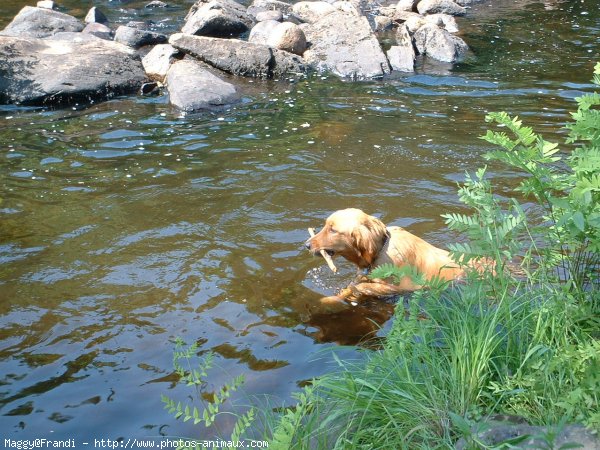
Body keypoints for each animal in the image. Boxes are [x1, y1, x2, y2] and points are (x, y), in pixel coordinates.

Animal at [308, 210, 480, 302]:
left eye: (333, 230)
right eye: (325, 225)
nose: (306, 245)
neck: (381, 250)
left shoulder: (402, 288)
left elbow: (362, 286)